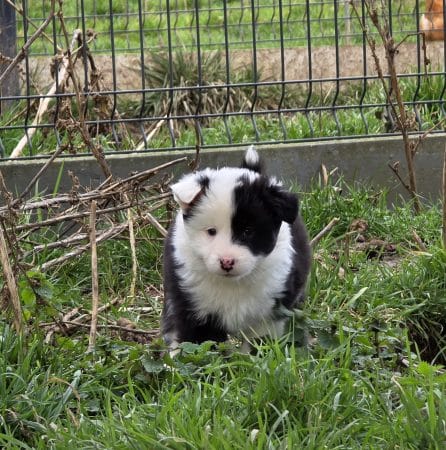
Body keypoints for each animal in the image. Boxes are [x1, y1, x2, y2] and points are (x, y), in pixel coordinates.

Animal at [160, 146, 310, 350]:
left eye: (248, 231)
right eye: (211, 231)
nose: (227, 262)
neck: (232, 284)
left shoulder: (269, 314)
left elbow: (259, 342)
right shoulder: (195, 309)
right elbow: (200, 346)